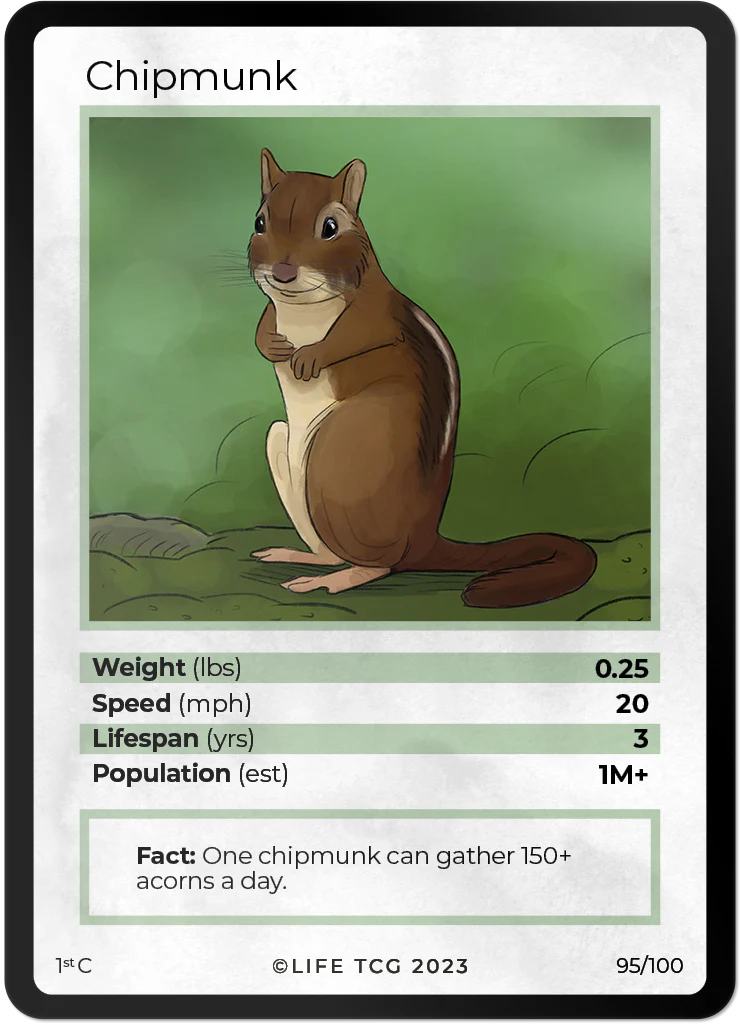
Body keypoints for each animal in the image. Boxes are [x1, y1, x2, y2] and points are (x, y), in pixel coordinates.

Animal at [249, 149, 596, 607]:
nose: (283, 272)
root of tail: (423, 540)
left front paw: (310, 357)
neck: (301, 308)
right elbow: (262, 323)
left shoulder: (377, 311)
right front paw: (272, 347)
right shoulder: (273, 307)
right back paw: (300, 557)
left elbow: (358, 334)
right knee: (333, 551)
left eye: (330, 228)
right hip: (283, 447)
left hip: (340, 451)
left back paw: (338, 578)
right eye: (259, 221)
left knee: (381, 564)